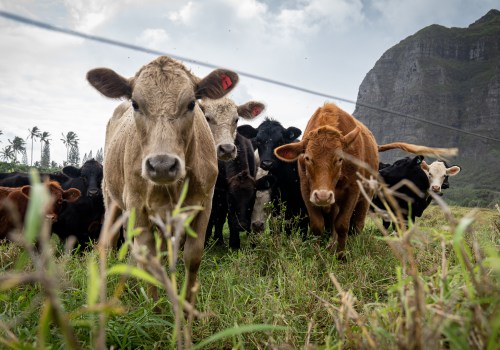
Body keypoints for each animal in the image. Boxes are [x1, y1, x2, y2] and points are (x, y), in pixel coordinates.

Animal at [86, 54, 240, 304]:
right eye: (136, 104)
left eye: (191, 104)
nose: (162, 165)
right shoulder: (137, 206)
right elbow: (150, 259)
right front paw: (155, 306)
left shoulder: (204, 204)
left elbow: (192, 257)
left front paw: (187, 305)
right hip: (111, 198)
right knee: (110, 242)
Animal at [274, 102, 378, 258]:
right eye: (307, 158)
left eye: (340, 159)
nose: (323, 196)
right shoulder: (307, 190)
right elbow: (318, 225)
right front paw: (318, 256)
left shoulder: (353, 190)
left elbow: (342, 225)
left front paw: (341, 256)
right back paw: (331, 246)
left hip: (366, 196)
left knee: (358, 224)